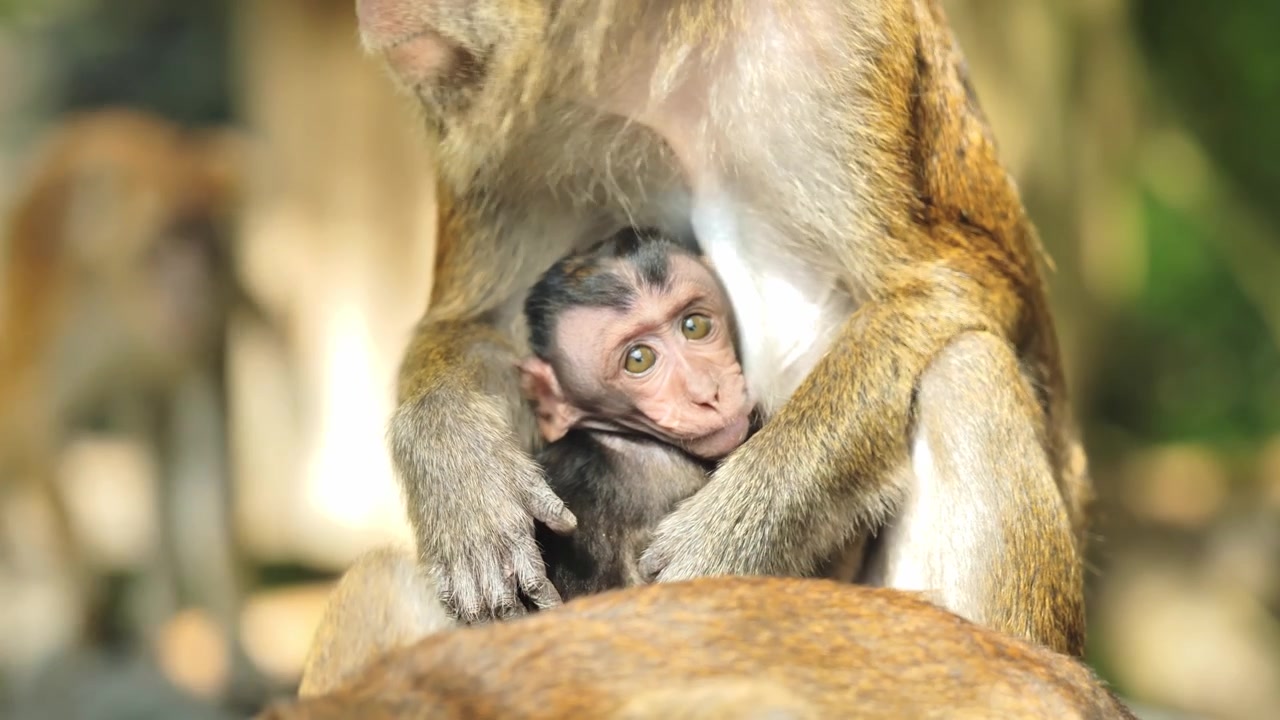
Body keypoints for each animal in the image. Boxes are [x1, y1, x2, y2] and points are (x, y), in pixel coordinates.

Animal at [0, 108, 274, 701]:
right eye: (161, 248)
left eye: (204, 247)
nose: (190, 291)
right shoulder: (58, 315)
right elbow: (34, 427)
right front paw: (88, 611)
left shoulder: (207, 334)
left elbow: (206, 473)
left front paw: (239, 655)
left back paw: (160, 624)